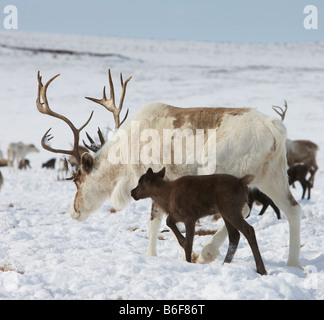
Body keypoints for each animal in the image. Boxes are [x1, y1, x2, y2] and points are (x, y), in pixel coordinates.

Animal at [130, 168, 268, 276]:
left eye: (140, 183)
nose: (132, 192)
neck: (166, 196)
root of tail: (242, 182)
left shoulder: (189, 217)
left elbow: (189, 242)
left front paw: (188, 261)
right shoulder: (178, 215)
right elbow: (169, 222)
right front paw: (182, 241)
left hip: (230, 209)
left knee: (248, 230)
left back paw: (261, 270)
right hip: (225, 212)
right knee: (234, 235)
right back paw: (225, 264)